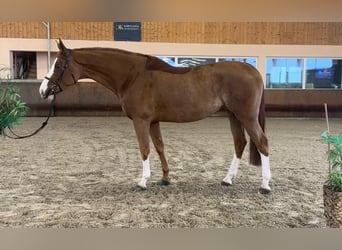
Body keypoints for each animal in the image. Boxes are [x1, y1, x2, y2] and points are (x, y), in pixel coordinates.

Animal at [38, 40, 272, 194]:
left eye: (58, 65)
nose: (42, 91)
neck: (132, 76)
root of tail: (252, 70)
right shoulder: (153, 121)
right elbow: (159, 147)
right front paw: (165, 178)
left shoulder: (141, 120)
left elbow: (145, 149)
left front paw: (143, 181)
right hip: (234, 116)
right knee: (240, 143)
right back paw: (227, 180)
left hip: (246, 117)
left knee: (262, 143)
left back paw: (265, 185)